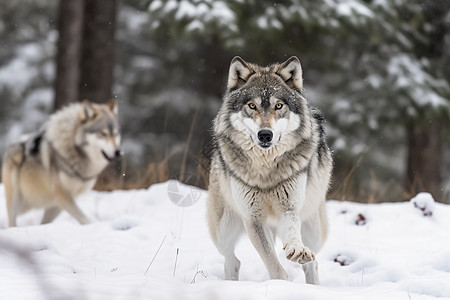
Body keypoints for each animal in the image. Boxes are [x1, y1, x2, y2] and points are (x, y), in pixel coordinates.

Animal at [207, 55, 330, 284]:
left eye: (279, 105)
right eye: (252, 105)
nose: (265, 135)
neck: (266, 170)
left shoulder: (289, 209)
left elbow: (293, 236)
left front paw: (296, 250)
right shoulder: (252, 219)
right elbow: (273, 264)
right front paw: (280, 283)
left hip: (313, 228)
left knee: (313, 263)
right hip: (224, 229)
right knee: (232, 260)